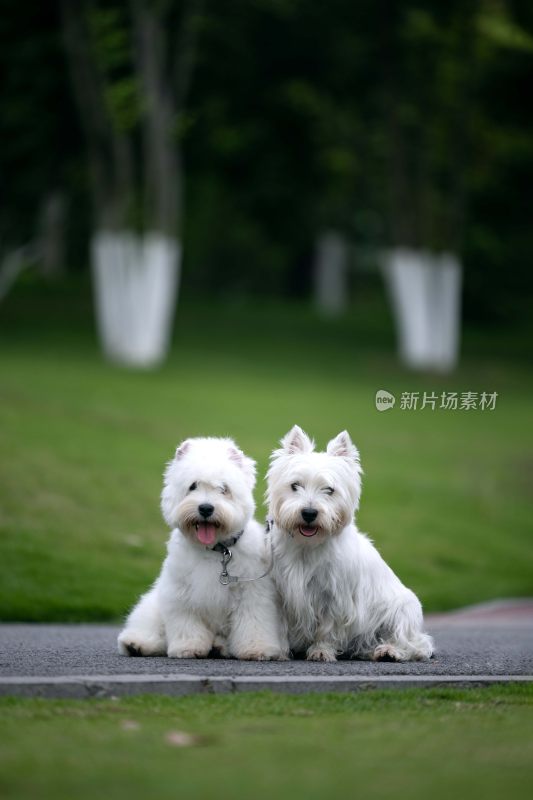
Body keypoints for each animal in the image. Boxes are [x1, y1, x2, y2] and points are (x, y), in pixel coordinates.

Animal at [119, 438, 288, 664]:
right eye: (192, 486)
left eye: (224, 488)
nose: (206, 508)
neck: (215, 550)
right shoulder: (181, 594)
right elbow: (188, 625)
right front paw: (188, 648)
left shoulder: (252, 594)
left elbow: (253, 624)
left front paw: (257, 649)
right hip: (153, 605)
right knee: (151, 627)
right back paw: (136, 643)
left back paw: (219, 647)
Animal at [268, 424, 434, 664]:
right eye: (295, 486)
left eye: (329, 490)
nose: (309, 513)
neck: (307, 546)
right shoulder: (282, 593)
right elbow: (279, 626)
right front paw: (279, 650)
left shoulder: (335, 597)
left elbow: (327, 628)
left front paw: (321, 651)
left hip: (402, 608)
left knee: (415, 643)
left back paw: (389, 651)